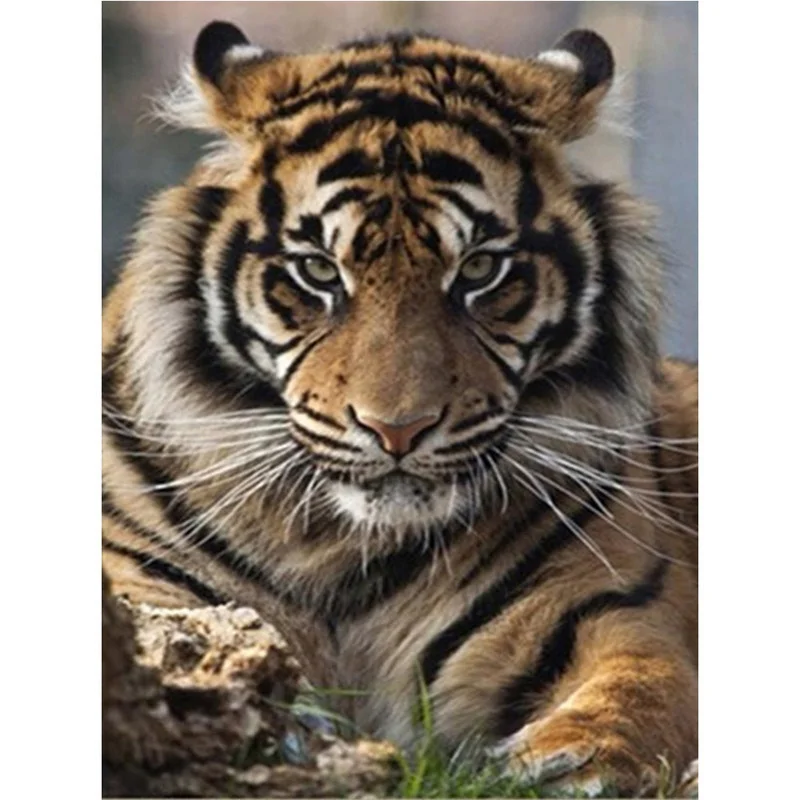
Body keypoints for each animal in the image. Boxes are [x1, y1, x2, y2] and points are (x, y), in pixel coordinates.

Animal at [102, 21, 698, 798]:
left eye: (480, 270)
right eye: (318, 271)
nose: (397, 430)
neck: (340, 549)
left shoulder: (610, 607)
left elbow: (643, 686)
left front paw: (568, 762)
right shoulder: (138, 582)